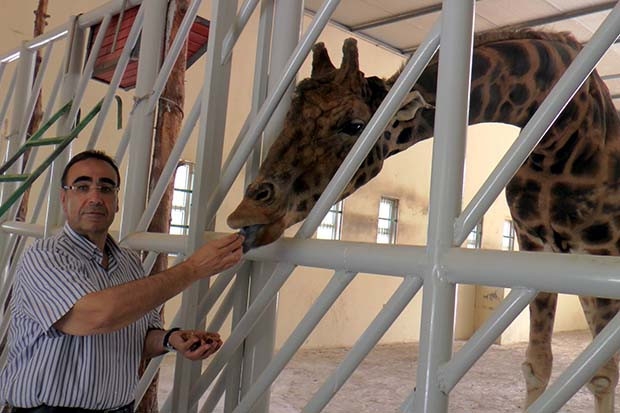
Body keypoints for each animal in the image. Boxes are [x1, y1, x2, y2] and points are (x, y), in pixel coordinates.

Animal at [227, 30, 620, 411]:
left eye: (354, 125)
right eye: (288, 117)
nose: (244, 213)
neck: (562, 139)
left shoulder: (600, 252)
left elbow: (603, 375)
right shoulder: (535, 246)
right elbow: (538, 366)